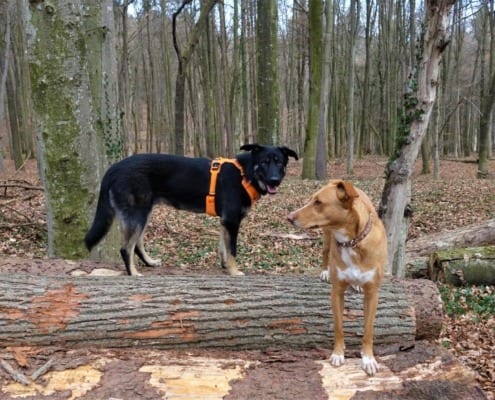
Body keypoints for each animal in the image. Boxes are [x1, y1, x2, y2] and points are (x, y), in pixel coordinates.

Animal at [85, 144, 298, 276]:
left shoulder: (225, 221)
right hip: (138, 214)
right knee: (126, 248)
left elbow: (223, 247)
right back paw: (134, 273)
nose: (274, 180)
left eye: (279, 162)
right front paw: (234, 271)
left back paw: (149, 263)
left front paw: (225, 267)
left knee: (136, 244)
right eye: (264, 162)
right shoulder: (232, 221)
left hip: (143, 214)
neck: (245, 174)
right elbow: (233, 249)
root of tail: (114, 168)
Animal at [288, 180, 390, 376]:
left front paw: (368, 359)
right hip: (327, 235)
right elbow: (338, 326)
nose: (289, 217)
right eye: (311, 199)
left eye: (318, 202)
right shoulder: (337, 291)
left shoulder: (373, 293)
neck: (352, 242)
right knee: (325, 251)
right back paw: (325, 271)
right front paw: (337, 354)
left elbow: (368, 330)